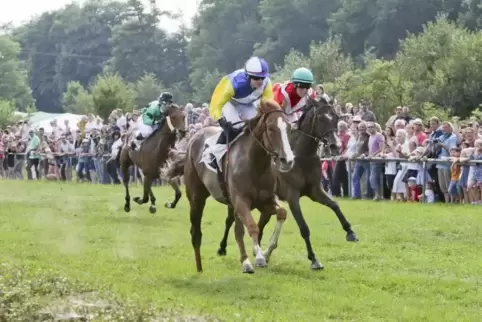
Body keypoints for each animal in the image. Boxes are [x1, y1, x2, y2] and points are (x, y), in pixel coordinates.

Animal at [185, 98, 296, 274]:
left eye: (289, 128)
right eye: (271, 128)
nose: (288, 160)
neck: (256, 164)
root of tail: (194, 136)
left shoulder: (264, 201)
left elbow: (282, 213)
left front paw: (265, 253)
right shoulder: (241, 201)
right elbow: (251, 227)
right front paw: (258, 257)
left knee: (235, 228)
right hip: (196, 197)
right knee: (196, 231)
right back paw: (200, 267)